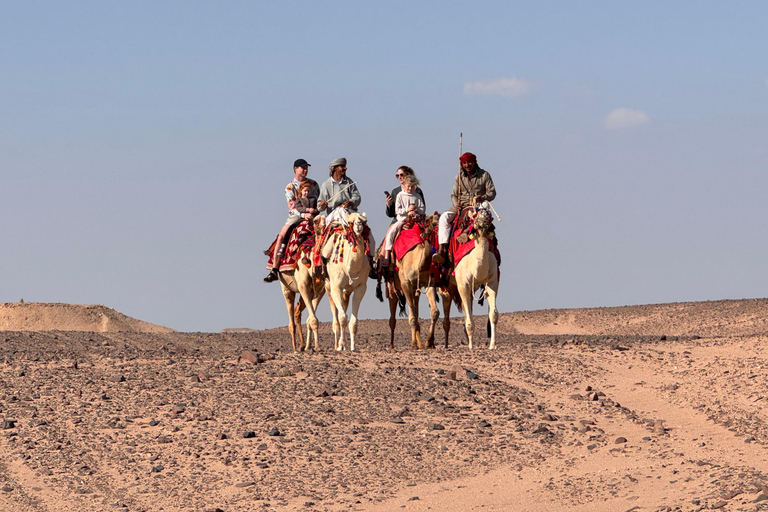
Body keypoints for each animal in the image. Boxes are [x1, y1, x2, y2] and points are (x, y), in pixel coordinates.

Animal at [276, 216, 326, 352]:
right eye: (316, 221)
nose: (324, 225)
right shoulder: (303, 285)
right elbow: (313, 320)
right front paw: (317, 346)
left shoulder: (319, 289)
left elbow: (311, 319)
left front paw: (313, 346)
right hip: (286, 288)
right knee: (291, 319)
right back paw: (295, 347)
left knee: (297, 311)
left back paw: (303, 345)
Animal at [320, 212, 372, 351]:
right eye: (351, 222)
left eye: (364, 221)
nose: (359, 224)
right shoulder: (336, 287)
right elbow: (342, 318)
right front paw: (341, 345)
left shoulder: (361, 287)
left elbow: (353, 322)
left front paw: (353, 347)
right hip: (328, 286)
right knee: (336, 316)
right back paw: (337, 345)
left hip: (346, 291)